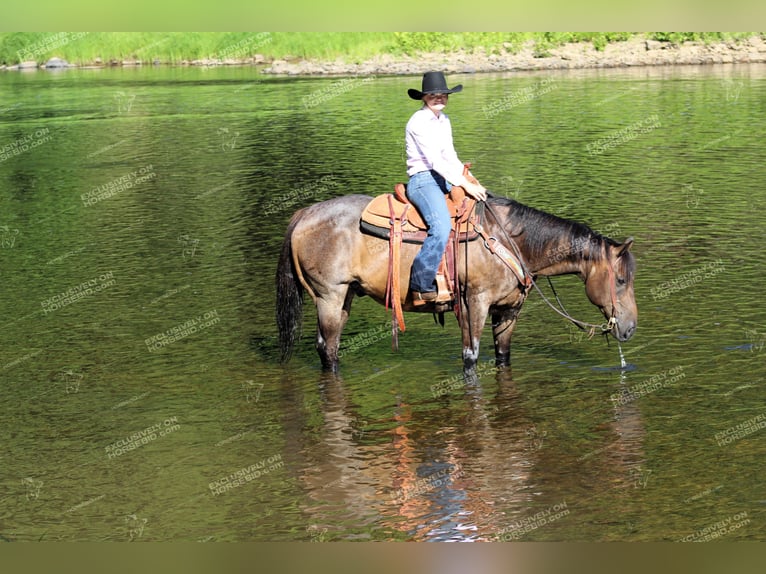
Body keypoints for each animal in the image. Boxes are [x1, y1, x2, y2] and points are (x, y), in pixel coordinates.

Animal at [280, 194, 640, 374]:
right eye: (621, 279)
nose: (630, 328)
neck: (512, 242)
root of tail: (304, 213)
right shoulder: (474, 303)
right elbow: (470, 356)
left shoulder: (508, 311)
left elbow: (503, 355)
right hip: (329, 296)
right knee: (327, 348)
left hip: (345, 297)